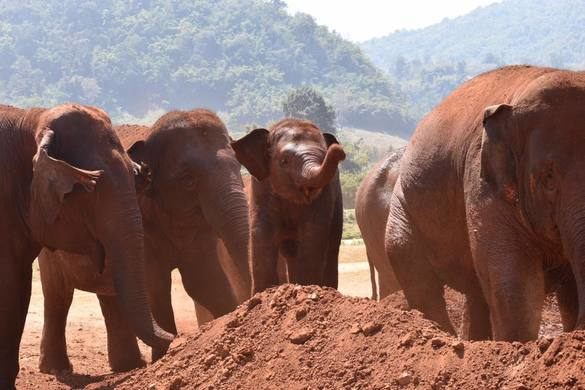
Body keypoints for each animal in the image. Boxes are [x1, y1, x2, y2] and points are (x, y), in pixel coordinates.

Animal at [39, 108, 251, 370]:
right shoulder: (141, 222)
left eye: (239, 167)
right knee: (58, 295)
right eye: (188, 179)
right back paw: (56, 367)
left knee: (111, 296)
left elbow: (203, 281)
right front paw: (164, 356)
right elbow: (156, 286)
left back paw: (129, 365)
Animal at [230, 118, 344, 292]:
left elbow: (313, 234)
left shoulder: (325, 194)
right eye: (284, 161)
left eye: (323, 157)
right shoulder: (261, 190)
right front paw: (264, 293)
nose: (340, 150)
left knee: (330, 249)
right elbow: (261, 233)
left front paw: (307, 287)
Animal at [388, 66, 584, 342]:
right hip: (402, 208)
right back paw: (444, 336)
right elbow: (514, 281)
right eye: (548, 177)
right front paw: (517, 346)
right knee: (418, 277)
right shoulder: (482, 181)